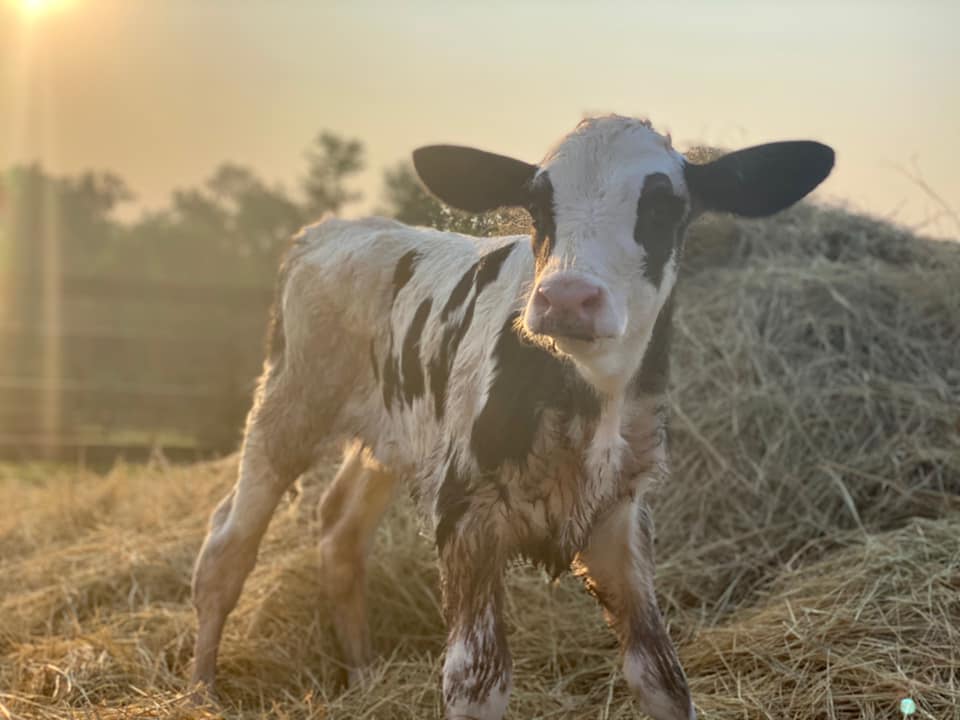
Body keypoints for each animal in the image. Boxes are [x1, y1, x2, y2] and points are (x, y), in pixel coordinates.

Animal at [190, 114, 834, 720]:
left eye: (662, 205)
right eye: (538, 203)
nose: (568, 297)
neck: (585, 399)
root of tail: (330, 230)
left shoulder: (620, 513)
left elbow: (662, 675)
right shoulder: (465, 512)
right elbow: (477, 682)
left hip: (394, 431)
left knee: (340, 527)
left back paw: (365, 677)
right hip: (288, 404)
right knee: (227, 546)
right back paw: (202, 692)